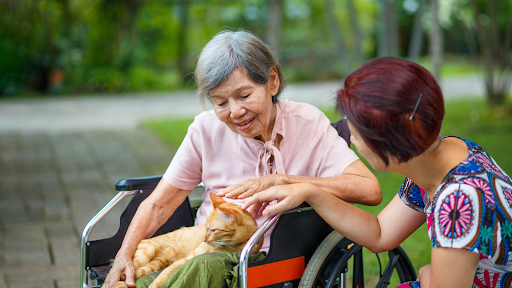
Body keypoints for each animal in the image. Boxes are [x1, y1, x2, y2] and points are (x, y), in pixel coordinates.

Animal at [109, 191, 264, 288]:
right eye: (206, 228)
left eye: (213, 230)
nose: (203, 239)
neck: (230, 245)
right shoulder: (187, 259)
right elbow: (166, 274)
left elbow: (166, 274)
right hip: (147, 252)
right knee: (114, 279)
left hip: (155, 264)